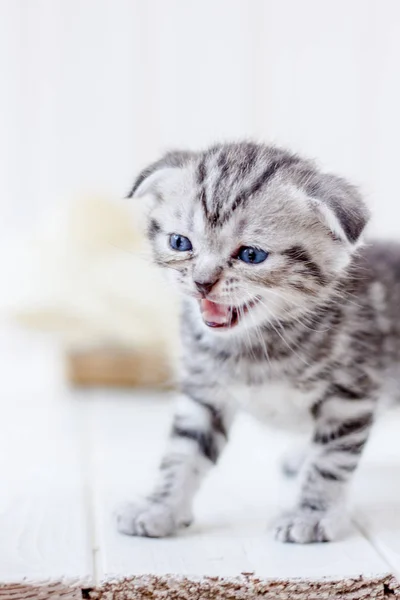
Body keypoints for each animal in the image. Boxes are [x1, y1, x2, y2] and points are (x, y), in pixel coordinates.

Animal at [116, 142, 400, 544]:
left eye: (251, 255)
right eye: (180, 243)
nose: (202, 283)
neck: (255, 344)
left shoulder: (350, 396)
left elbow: (330, 462)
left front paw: (311, 514)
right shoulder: (204, 390)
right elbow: (183, 450)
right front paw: (160, 506)